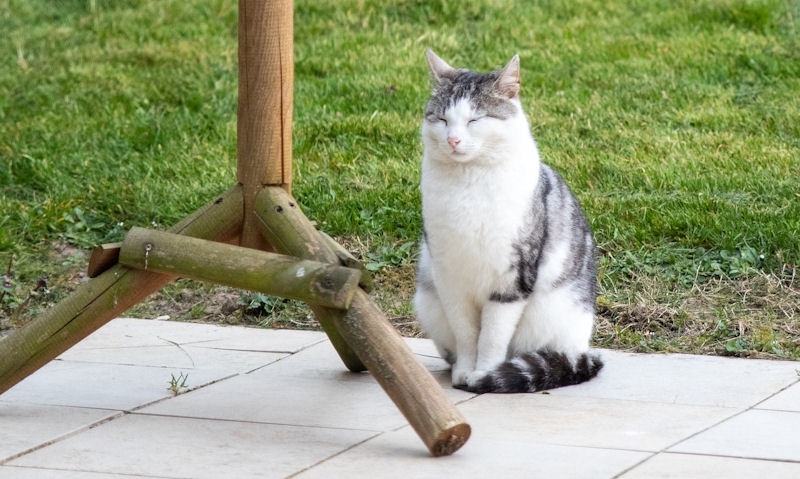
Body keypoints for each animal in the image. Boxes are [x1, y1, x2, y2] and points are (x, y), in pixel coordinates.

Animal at [416, 49, 604, 394]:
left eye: (475, 120)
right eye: (442, 119)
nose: (453, 140)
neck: (469, 184)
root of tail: (582, 349)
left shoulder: (511, 281)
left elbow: (491, 337)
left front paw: (484, 374)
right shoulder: (449, 280)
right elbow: (467, 334)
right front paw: (466, 371)